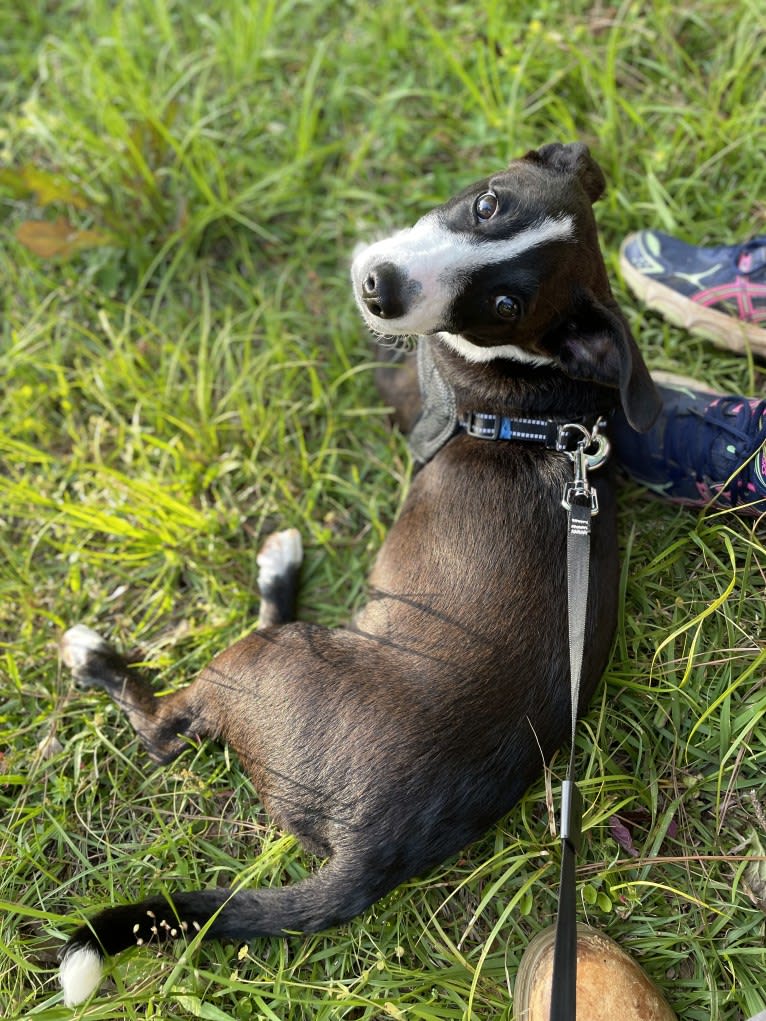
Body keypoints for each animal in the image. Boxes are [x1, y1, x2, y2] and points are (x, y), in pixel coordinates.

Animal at [58, 141, 661, 1004]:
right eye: (487, 203)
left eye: (504, 302)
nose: (379, 283)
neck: (539, 396)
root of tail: (369, 857)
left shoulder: (406, 387)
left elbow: (371, 356)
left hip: (267, 664)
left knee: (166, 726)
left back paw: (105, 651)